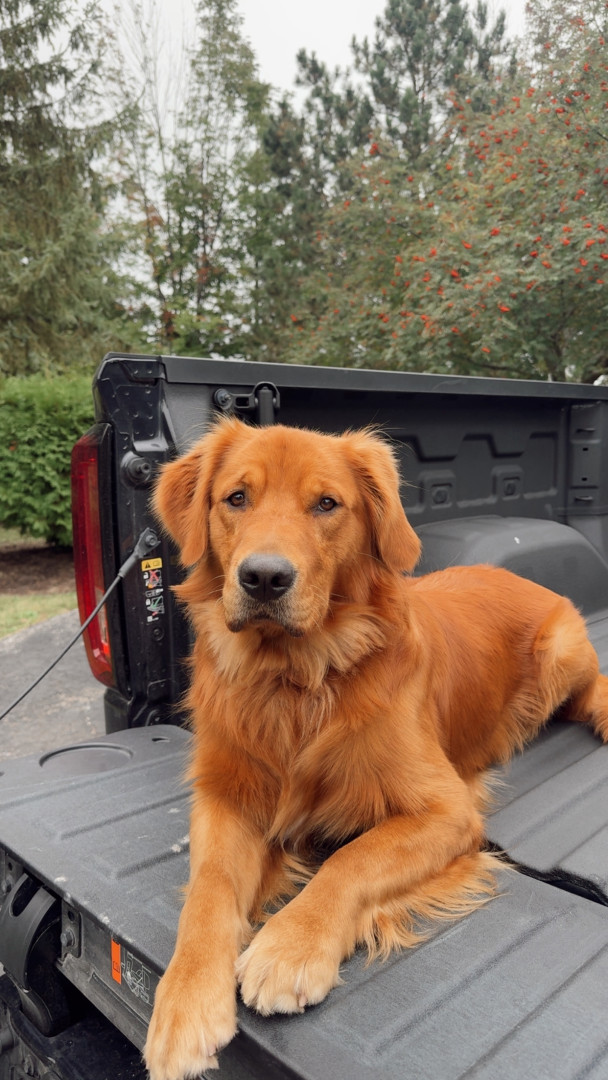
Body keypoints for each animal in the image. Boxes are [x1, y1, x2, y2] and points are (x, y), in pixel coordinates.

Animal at [144, 418, 608, 1080]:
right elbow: (207, 887)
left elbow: (350, 859)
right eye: (236, 498)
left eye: (326, 504)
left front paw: (289, 945)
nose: (264, 577)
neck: (296, 680)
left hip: (564, 654)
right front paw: (183, 1002)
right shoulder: (225, 795)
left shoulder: (447, 810)